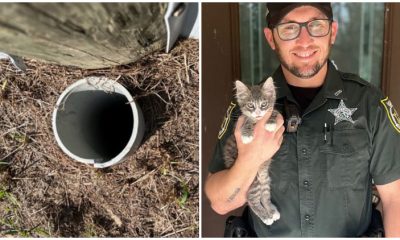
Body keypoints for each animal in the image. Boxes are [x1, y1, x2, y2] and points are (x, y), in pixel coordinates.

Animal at [223, 77, 280, 225]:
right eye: (250, 106)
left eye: (263, 104)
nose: (258, 113)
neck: (258, 121)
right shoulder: (241, 121)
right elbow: (247, 120)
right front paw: (247, 134)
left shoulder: (274, 111)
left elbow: (274, 112)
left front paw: (270, 123)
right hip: (253, 180)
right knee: (251, 199)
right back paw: (265, 216)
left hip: (264, 178)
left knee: (264, 196)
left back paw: (271, 211)